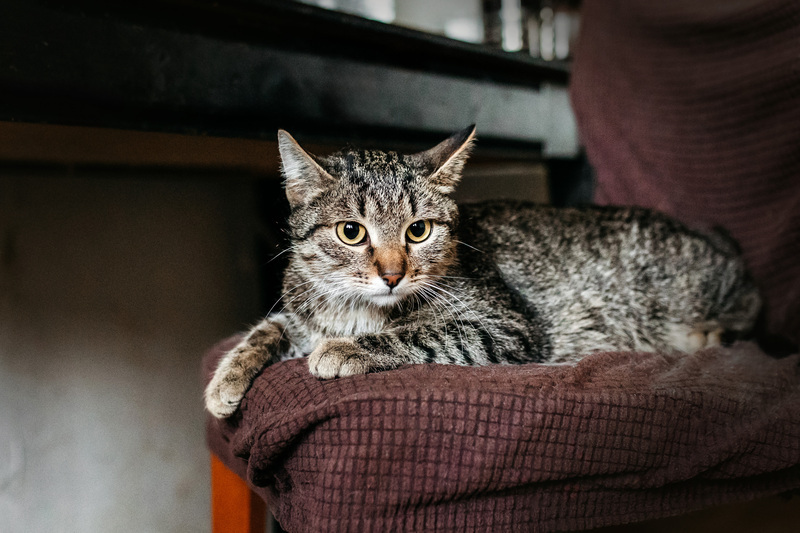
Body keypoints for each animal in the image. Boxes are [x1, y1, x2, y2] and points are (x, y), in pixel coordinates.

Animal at [203, 127, 760, 418]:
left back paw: (707, 336)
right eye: (351, 232)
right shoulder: (300, 312)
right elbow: (266, 329)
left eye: (419, 230)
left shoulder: (505, 325)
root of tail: (714, 236)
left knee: (750, 312)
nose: (392, 274)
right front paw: (225, 380)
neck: (354, 307)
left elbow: (418, 333)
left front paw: (344, 350)